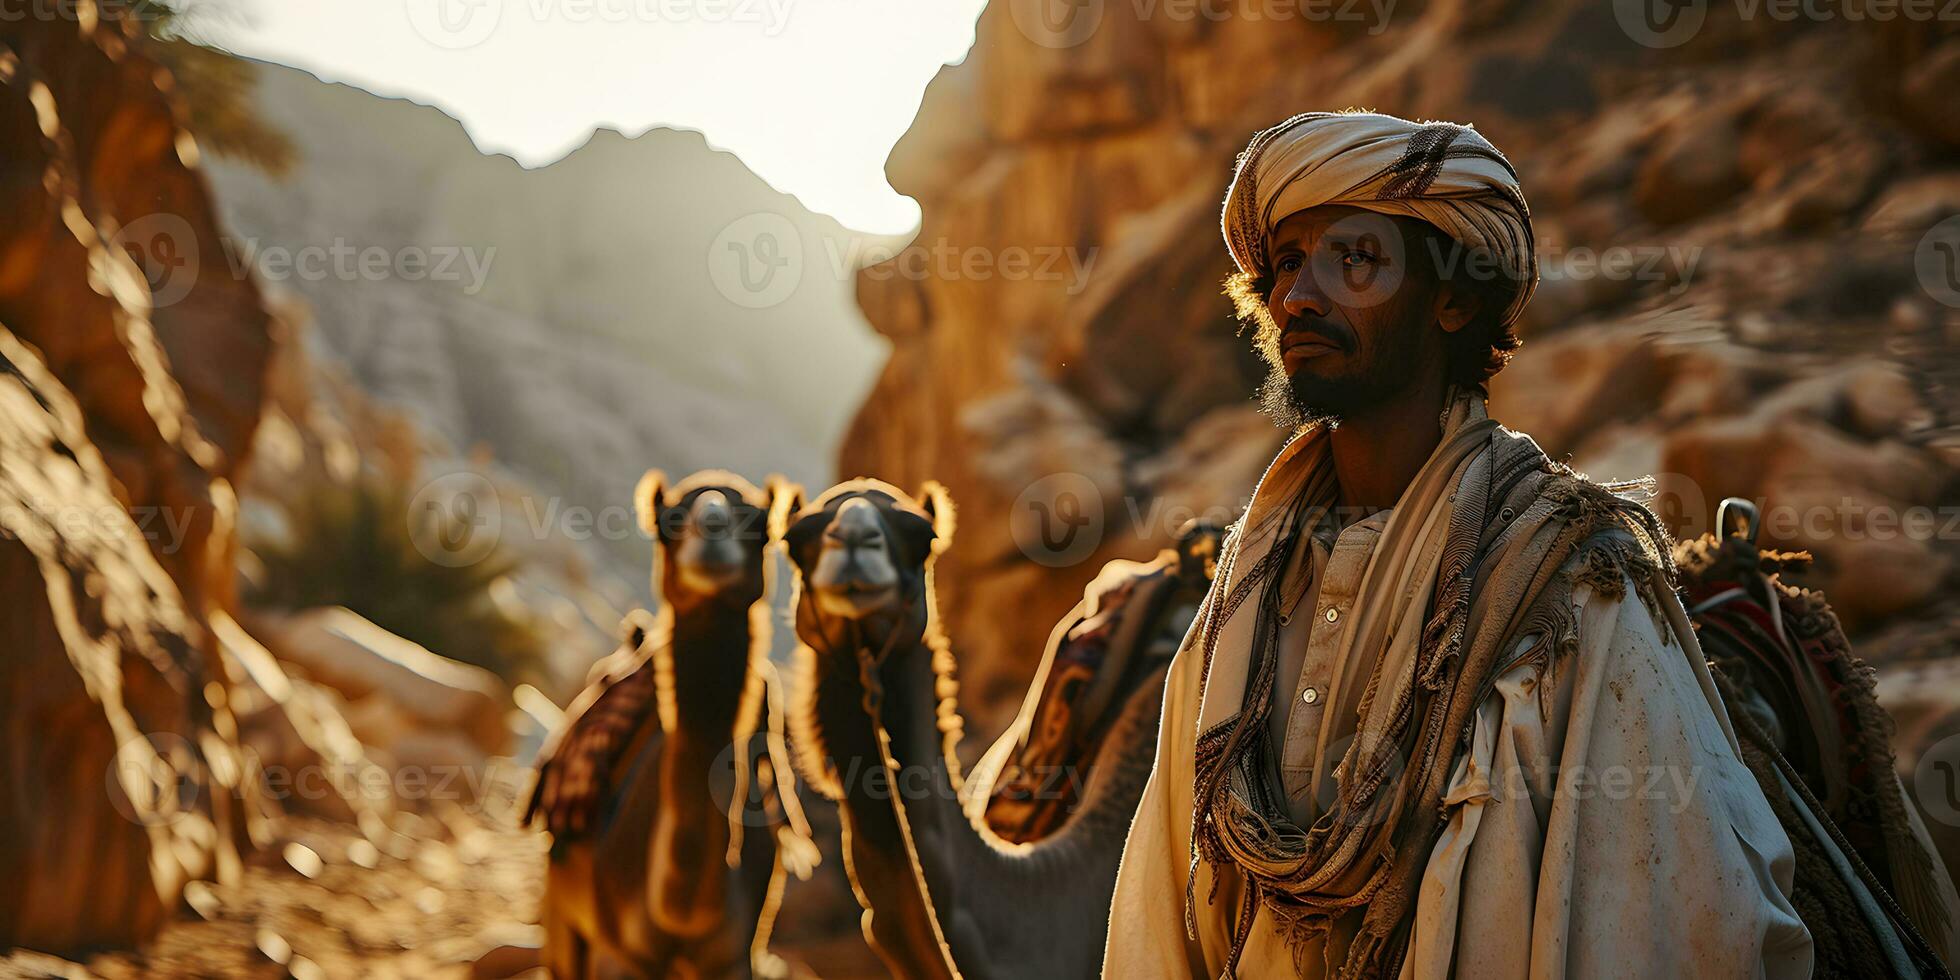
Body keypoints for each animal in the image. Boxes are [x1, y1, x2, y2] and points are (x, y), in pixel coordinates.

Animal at [529, 470, 811, 976]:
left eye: (761, 524)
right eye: (669, 520)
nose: (712, 525)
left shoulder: (734, 956)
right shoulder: (625, 957)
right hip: (564, 918)